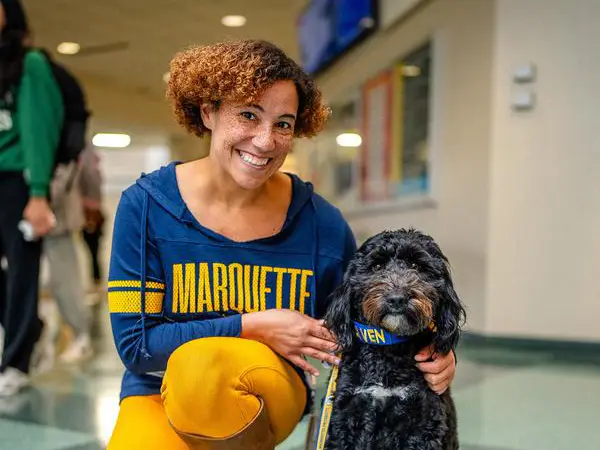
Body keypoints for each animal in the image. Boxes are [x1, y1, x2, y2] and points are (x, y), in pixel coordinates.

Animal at [326, 230, 466, 448]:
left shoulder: (424, 423)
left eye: (416, 266)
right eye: (376, 266)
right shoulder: (345, 417)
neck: (387, 346)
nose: (397, 298)